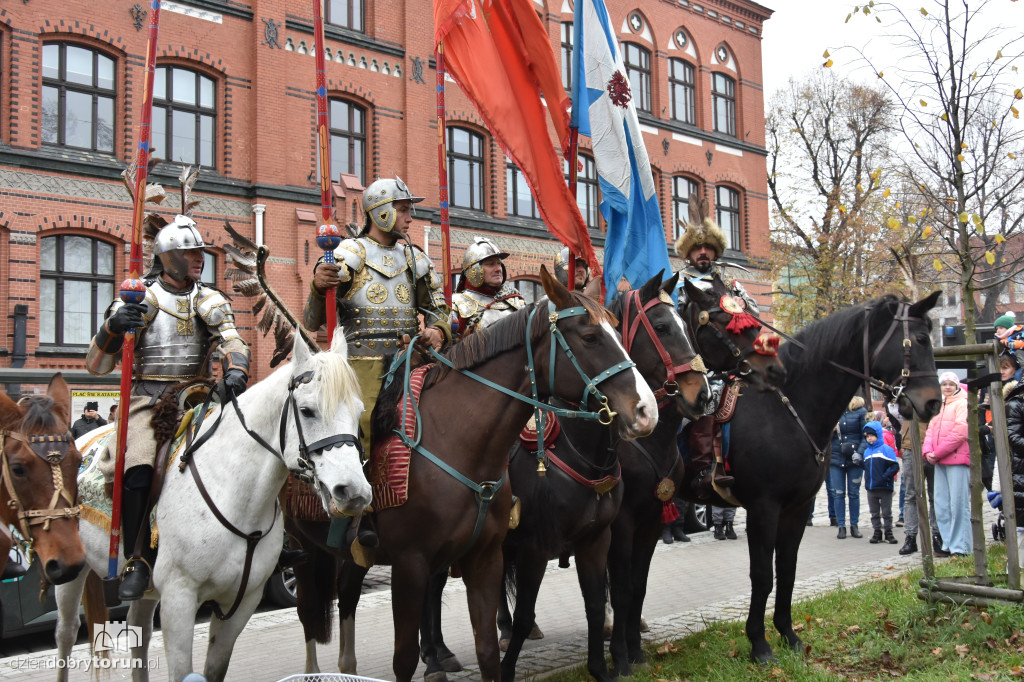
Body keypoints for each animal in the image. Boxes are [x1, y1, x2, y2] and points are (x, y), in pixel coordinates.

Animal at [54, 331, 370, 675]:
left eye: (358, 411)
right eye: (308, 410)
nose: (354, 491)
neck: (236, 495)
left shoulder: (241, 603)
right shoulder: (179, 600)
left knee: (140, 632)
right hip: (73, 570)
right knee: (67, 633)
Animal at [284, 266, 659, 679]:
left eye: (618, 334)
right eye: (590, 337)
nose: (646, 411)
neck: (458, 441)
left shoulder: (495, 556)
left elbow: (492, 650)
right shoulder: (414, 564)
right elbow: (405, 658)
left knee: (348, 597)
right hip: (303, 547)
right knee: (308, 612)